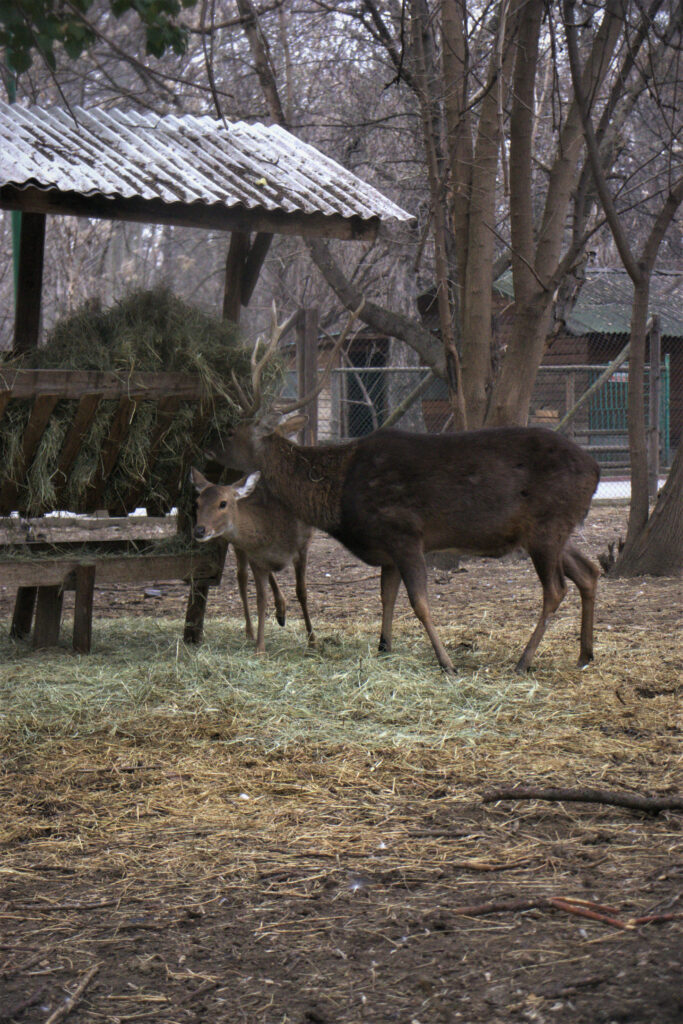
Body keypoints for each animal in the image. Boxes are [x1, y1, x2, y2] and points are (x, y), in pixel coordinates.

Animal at [191, 467, 315, 654]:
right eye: (197, 503)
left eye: (223, 503)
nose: (199, 530)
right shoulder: (256, 558)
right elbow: (260, 599)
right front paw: (260, 647)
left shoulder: (302, 547)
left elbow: (302, 592)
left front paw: (312, 640)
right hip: (239, 547)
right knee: (241, 577)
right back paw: (252, 630)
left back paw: (281, 612)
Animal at [210, 307, 601, 674]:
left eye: (230, 431)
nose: (208, 448)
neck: (340, 494)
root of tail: (596, 471)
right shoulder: (387, 549)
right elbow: (386, 598)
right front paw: (384, 646)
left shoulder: (405, 532)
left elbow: (420, 603)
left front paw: (447, 662)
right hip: (552, 529)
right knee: (589, 571)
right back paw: (585, 654)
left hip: (547, 526)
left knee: (556, 590)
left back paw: (524, 659)